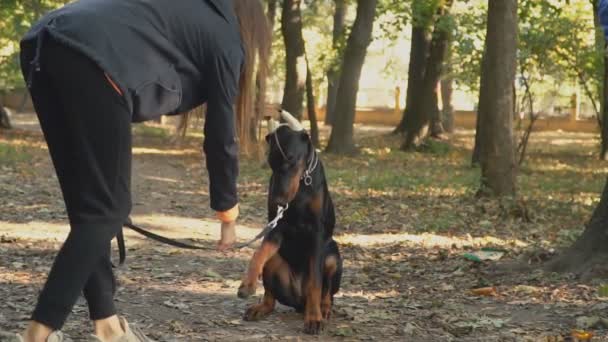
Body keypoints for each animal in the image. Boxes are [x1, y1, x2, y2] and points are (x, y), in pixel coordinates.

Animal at [236, 111, 342, 334]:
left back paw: (323, 309)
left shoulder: (317, 233)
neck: (302, 184)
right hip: (275, 262)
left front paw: (314, 319)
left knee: (327, 293)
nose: (278, 201)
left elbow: (316, 283)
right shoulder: (276, 227)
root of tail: (299, 301)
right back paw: (260, 308)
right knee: (270, 296)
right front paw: (247, 285)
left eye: (291, 159)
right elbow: (259, 253)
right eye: (270, 163)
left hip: (332, 258)